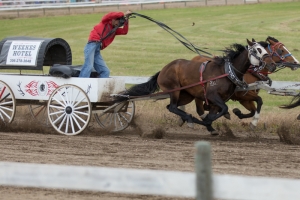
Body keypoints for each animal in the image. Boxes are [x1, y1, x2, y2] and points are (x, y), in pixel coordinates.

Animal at [115, 39, 276, 135]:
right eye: (257, 50)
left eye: (265, 49)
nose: (272, 65)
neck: (227, 72)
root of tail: (163, 70)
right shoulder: (213, 96)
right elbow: (224, 109)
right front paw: (209, 121)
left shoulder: (220, 99)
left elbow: (222, 110)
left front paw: (212, 124)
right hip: (175, 90)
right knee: (172, 107)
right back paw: (191, 119)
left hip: (186, 95)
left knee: (172, 107)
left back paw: (191, 119)